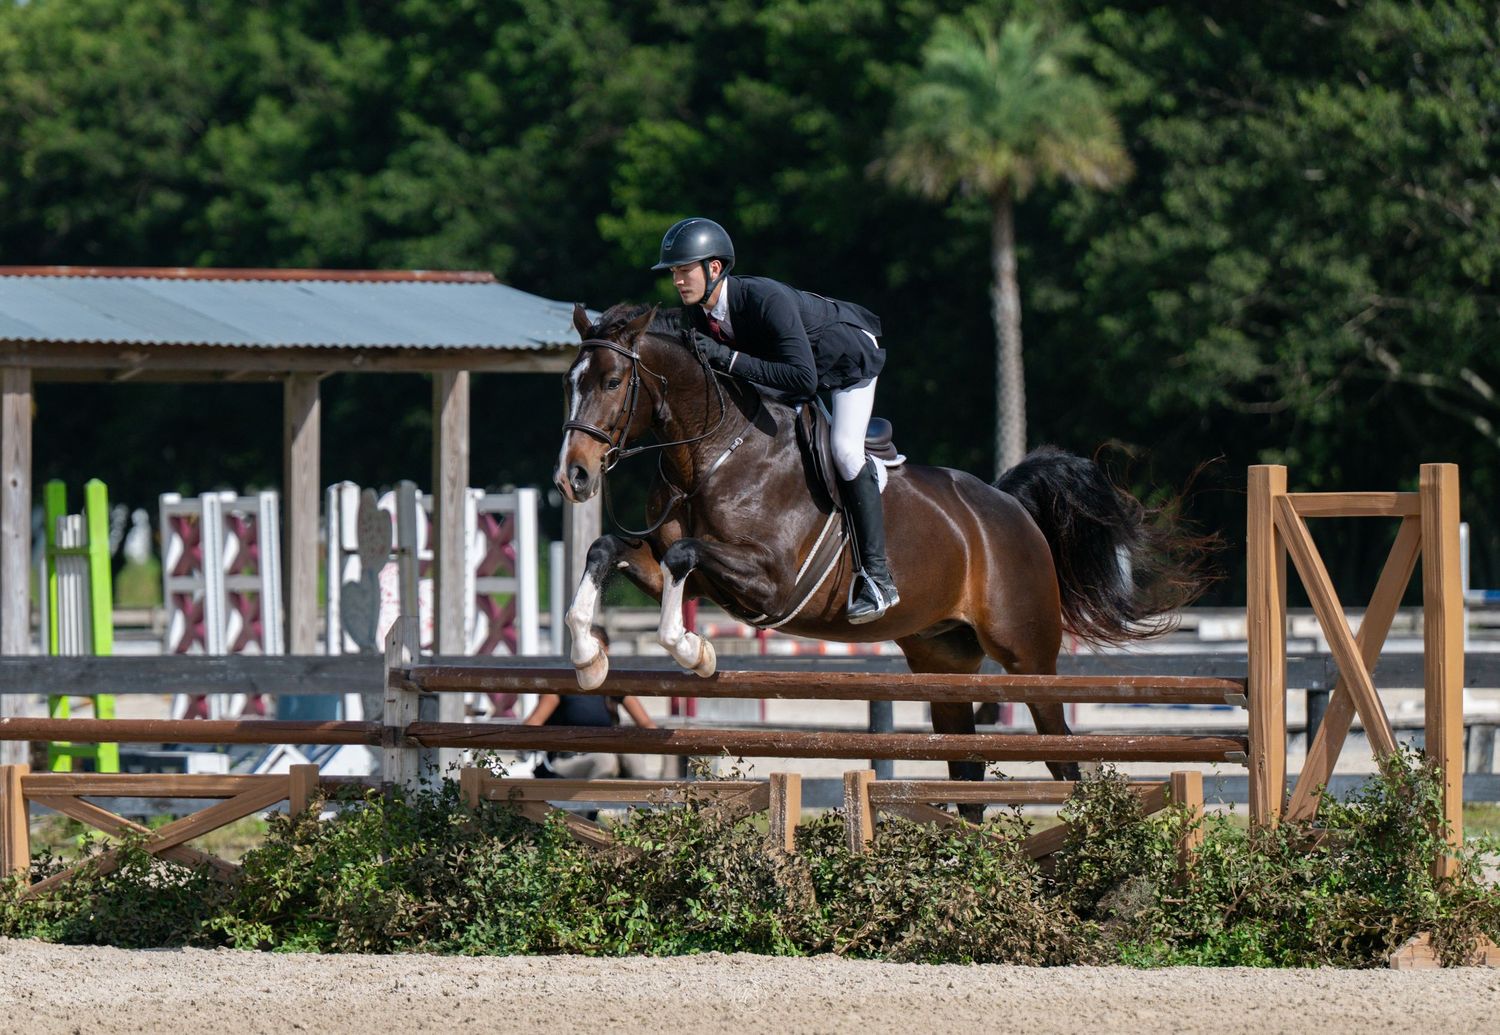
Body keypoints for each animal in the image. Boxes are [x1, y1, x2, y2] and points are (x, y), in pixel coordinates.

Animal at [553, 302, 1209, 786]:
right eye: (569, 383)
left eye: (613, 381)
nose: (574, 477)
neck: (711, 453)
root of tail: (1010, 507)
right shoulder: (677, 569)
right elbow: (607, 550)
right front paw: (588, 658)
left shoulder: (771, 582)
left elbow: (684, 558)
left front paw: (694, 652)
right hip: (943, 660)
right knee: (965, 768)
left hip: (1028, 659)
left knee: (1062, 759)